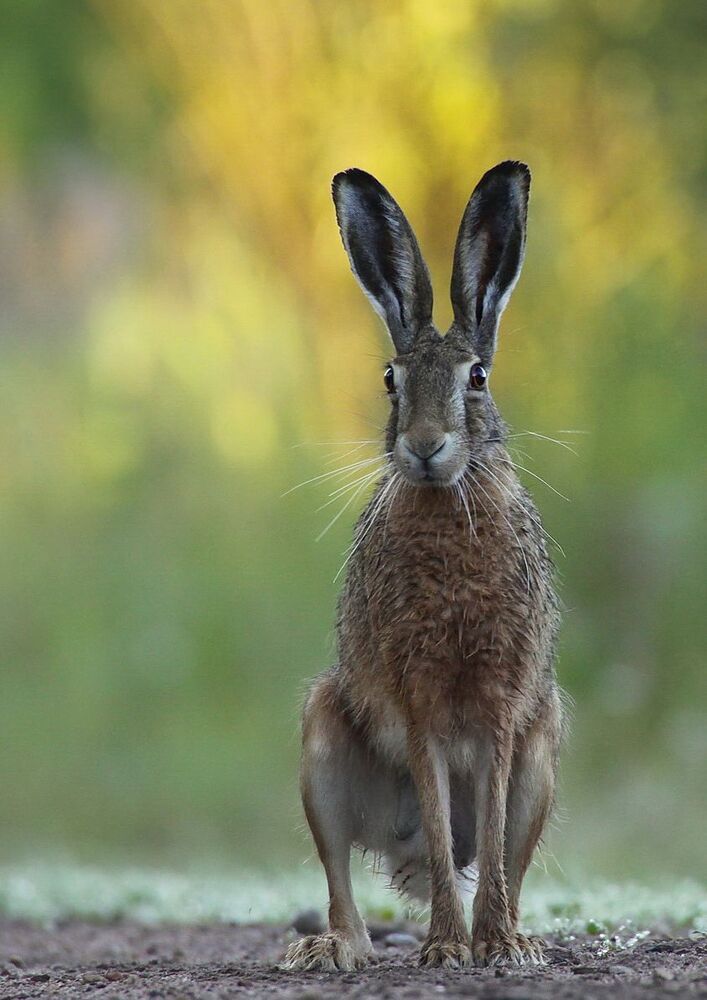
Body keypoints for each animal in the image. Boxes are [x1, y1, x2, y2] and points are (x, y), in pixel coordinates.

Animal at [283, 162, 564, 972]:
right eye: (390, 380)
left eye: (477, 378)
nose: (425, 446)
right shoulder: (416, 702)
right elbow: (441, 828)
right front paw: (444, 949)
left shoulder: (504, 701)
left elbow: (492, 834)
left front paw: (493, 946)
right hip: (322, 739)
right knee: (345, 874)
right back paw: (334, 950)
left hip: (545, 742)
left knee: (508, 855)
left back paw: (520, 938)